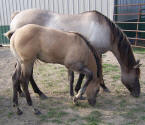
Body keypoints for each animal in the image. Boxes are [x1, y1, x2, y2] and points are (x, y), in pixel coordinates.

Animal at [10, 8, 140, 97]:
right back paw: (39, 92)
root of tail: (17, 15)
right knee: (28, 75)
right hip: (29, 58)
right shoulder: (95, 52)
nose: (137, 93)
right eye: (137, 76)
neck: (104, 30)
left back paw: (21, 92)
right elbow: (96, 70)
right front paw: (99, 86)